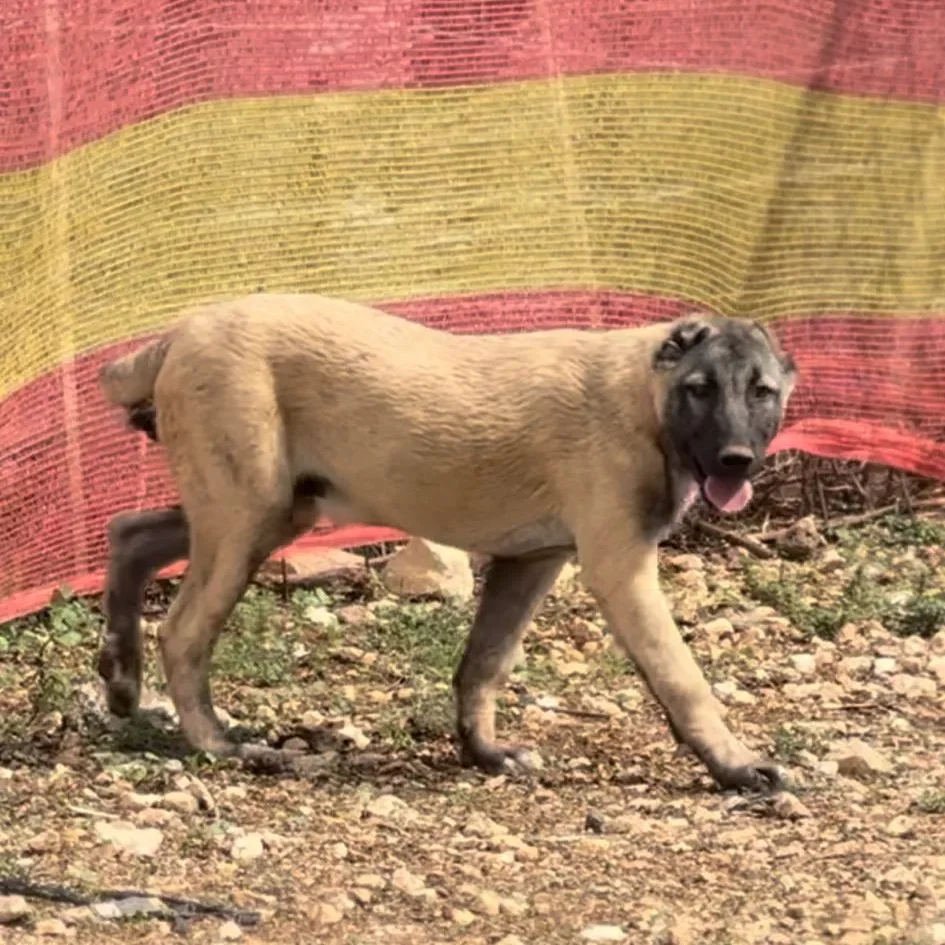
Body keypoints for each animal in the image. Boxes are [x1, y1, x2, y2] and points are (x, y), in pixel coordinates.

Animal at [97, 293, 797, 792]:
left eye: (761, 391)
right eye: (700, 389)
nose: (736, 461)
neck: (645, 398)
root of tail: (178, 332)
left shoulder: (531, 560)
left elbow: (484, 663)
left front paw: (483, 752)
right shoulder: (620, 567)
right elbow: (682, 677)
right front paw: (735, 764)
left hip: (269, 511)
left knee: (129, 535)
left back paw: (121, 677)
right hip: (247, 514)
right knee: (183, 631)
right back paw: (216, 743)